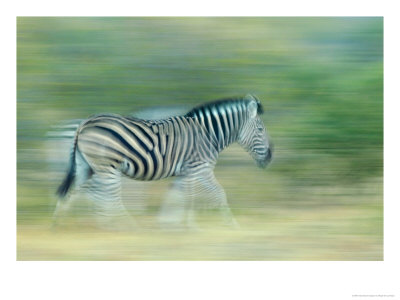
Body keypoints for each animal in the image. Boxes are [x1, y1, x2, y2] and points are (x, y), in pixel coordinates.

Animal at [53, 94, 272, 230]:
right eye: (261, 129)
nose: (270, 157)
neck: (209, 134)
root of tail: (85, 123)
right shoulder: (200, 168)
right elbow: (216, 194)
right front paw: (230, 225)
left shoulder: (185, 172)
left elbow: (178, 196)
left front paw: (168, 224)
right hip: (107, 166)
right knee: (108, 196)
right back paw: (125, 225)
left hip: (87, 166)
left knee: (73, 192)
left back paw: (59, 224)